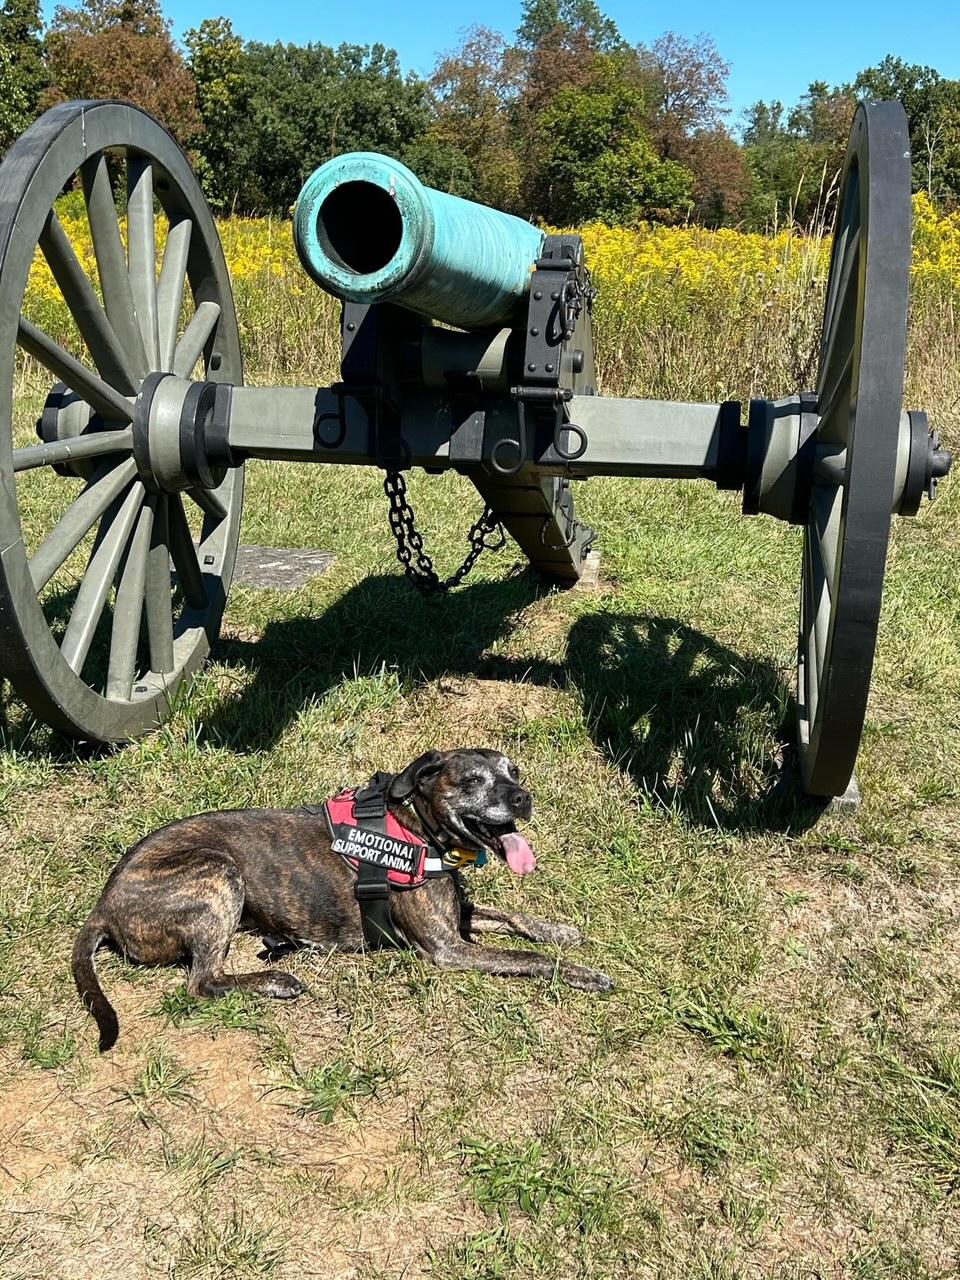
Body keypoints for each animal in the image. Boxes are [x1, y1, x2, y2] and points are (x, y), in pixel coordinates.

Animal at [75, 747, 616, 1049]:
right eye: (472, 781)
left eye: (514, 772)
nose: (523, 797)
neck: (419, 830)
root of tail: (104, 904)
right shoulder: (449, 949)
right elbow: (530, 958)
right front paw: (582, 973)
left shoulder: (458, 917)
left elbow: (514, 916)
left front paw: (559, 930)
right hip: (216, 874)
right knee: (200, 982)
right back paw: (275, 981)